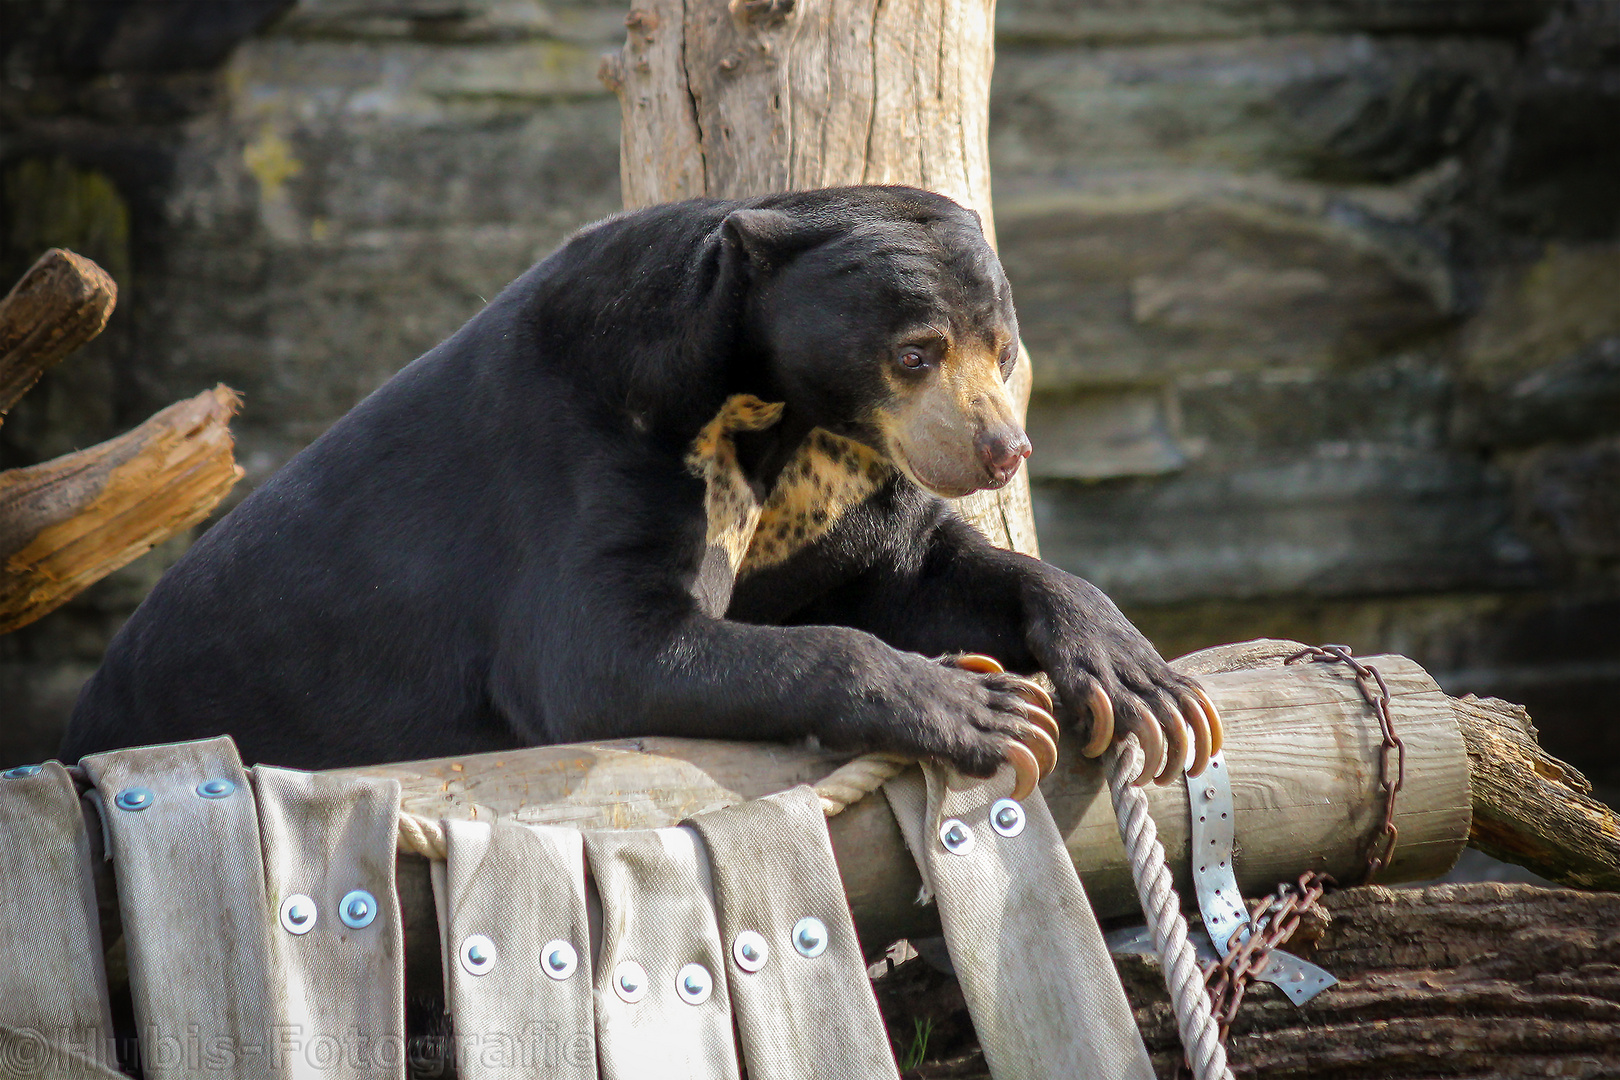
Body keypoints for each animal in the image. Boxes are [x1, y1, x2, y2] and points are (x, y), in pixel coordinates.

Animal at [66, 186, 1224, 790]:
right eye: (916, 352)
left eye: (1004, 347)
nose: (1001, 450)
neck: (771, 410)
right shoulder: (587, 452)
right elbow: (606, 652)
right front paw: (982, 707)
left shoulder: (840, 492)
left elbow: (922, 568)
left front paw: (1148, 687)